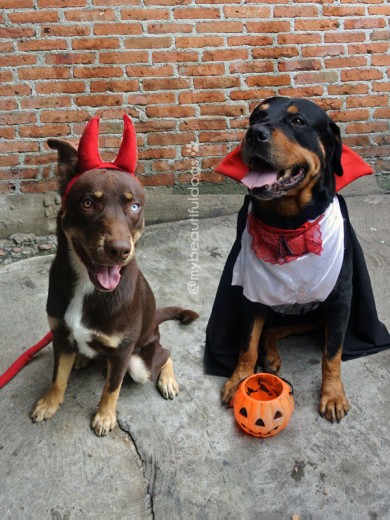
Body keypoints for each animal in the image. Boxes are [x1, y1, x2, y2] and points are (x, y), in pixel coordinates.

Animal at [29, 117, 198, 434]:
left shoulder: (121, 353)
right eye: (87, 203)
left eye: (134, 206)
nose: (120, 250)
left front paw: (105, 416)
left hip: (140, 361)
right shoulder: (60, 336)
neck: (86, 287)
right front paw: (49, 403)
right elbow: (58, 377)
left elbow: (112, 387)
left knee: (164, 354)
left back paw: (168, 380)